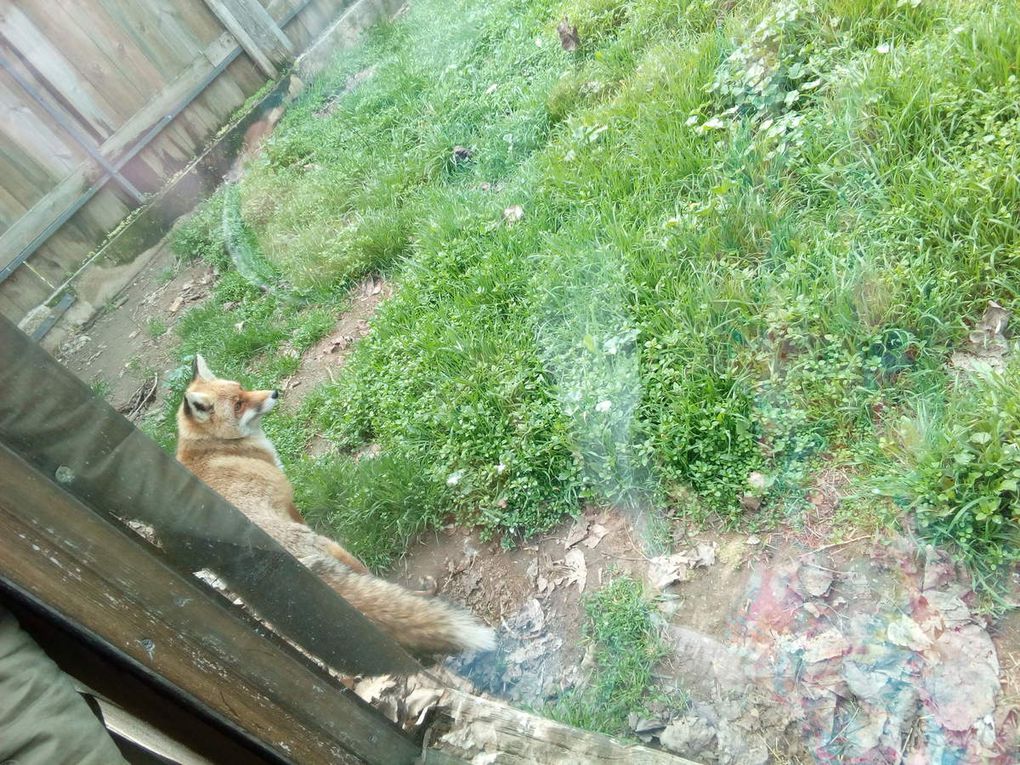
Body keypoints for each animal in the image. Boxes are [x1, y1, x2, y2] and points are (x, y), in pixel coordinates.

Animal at [177, 357, 495, 656]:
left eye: (241, 388)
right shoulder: (288, 499)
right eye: (239, 404)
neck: (212, 445)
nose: (275, 392)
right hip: (333, 549)